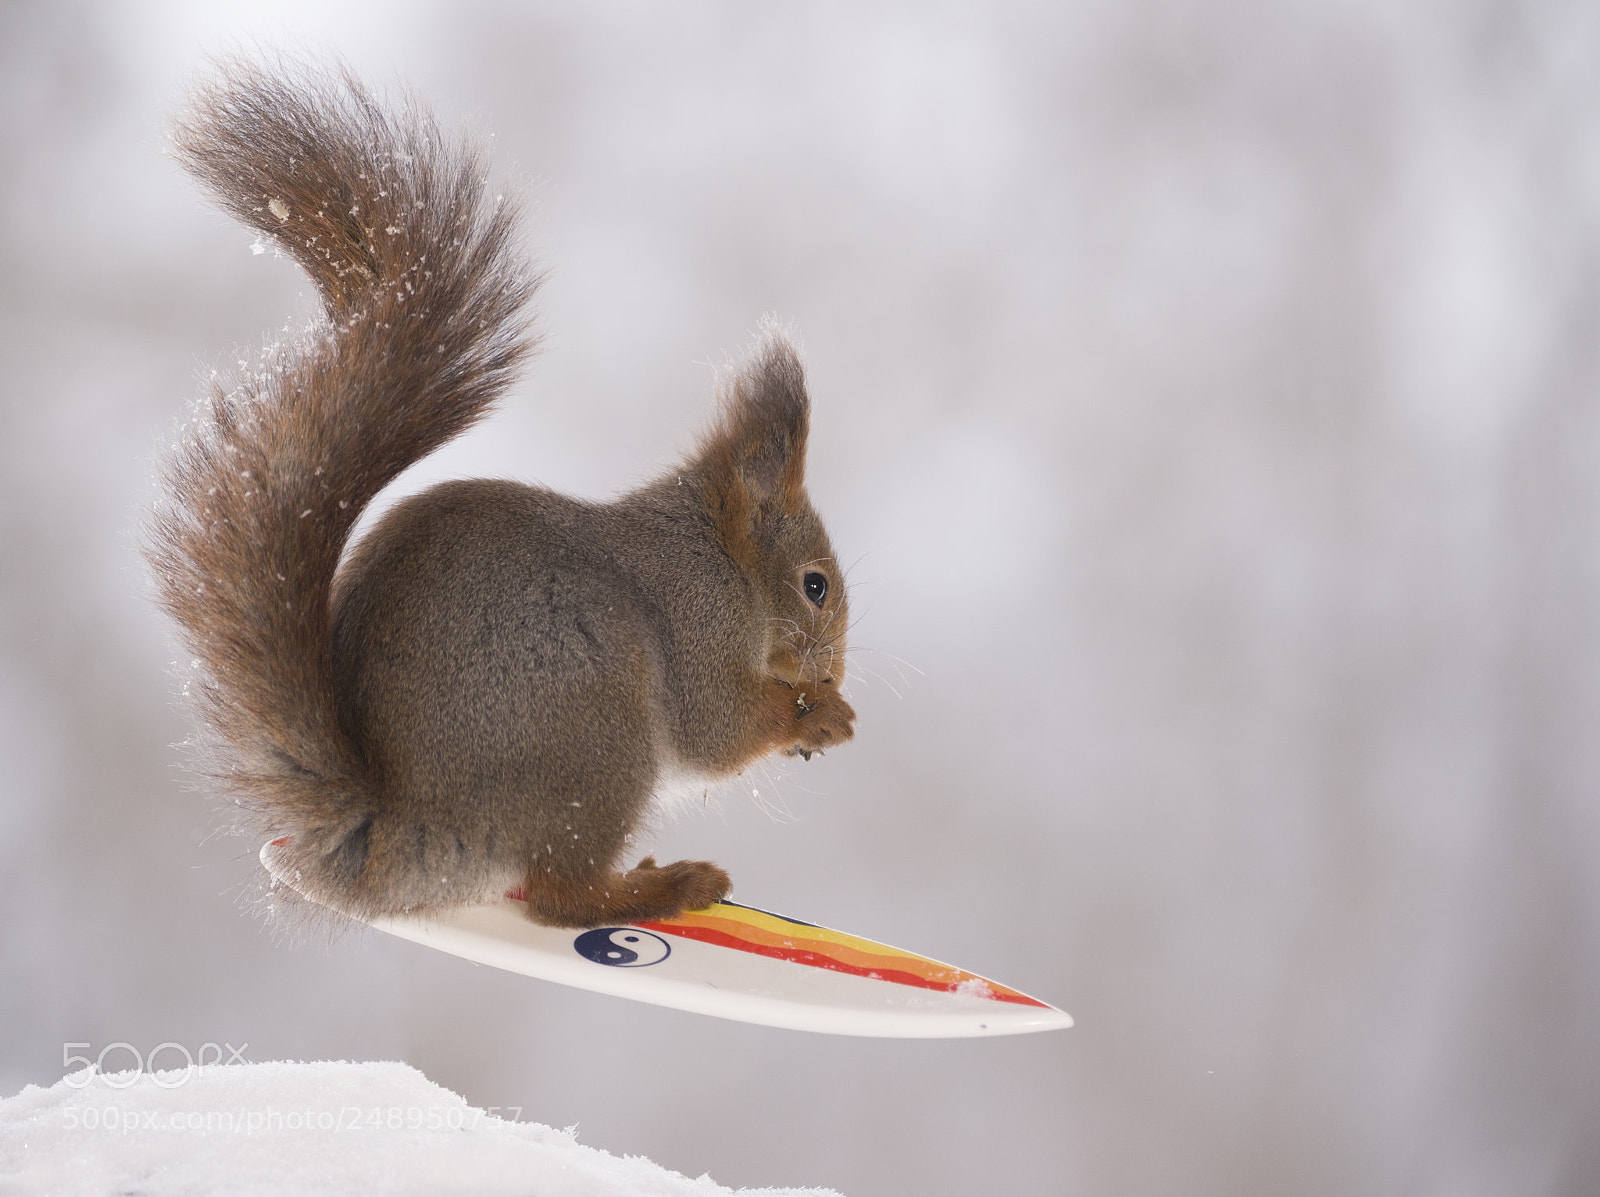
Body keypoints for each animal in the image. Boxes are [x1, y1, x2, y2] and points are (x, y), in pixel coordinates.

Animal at [146, 62, 855, 929]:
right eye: (815, 586)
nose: (835, 673)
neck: (722, 561)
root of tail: (409, 825)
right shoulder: (698, 618)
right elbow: (715, 727)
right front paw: (818, 714)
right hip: (593, 732)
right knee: (560, 896)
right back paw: (665, 886)